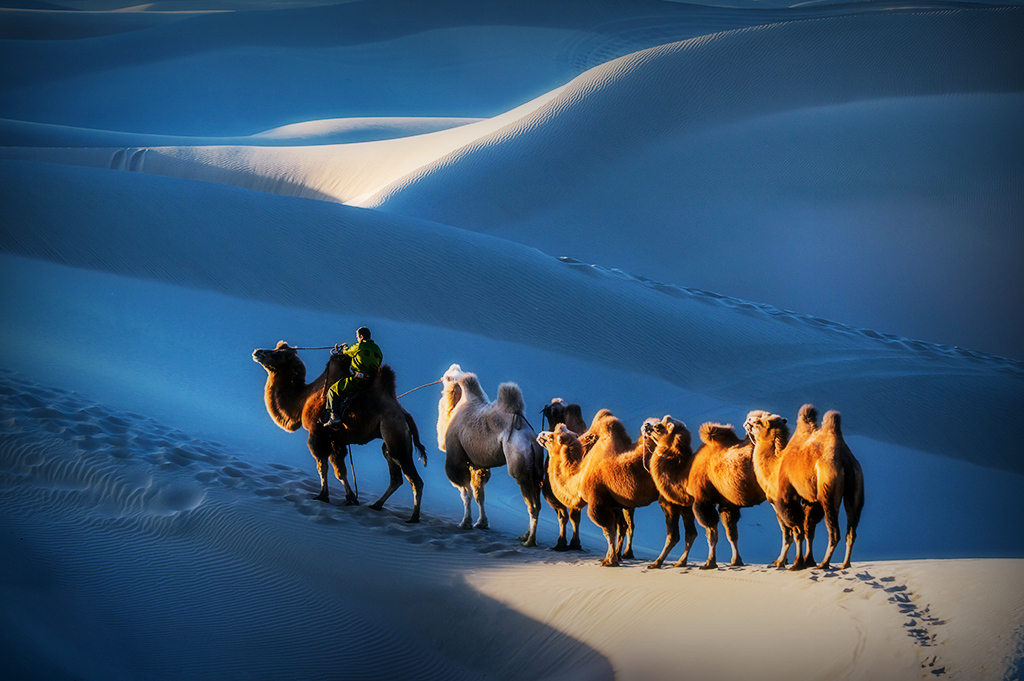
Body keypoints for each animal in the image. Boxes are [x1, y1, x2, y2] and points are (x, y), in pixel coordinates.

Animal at [253, 342, 425, 522]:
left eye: (277, 354)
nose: (258, 352)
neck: (303, 399)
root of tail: (406, 416)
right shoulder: (336, 439)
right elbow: (340, 470)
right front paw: (351, 498)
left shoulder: (317, 433)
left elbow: (322, 466)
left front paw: (322, 496)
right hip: (390, 440)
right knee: (396, 477)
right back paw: (376, 505)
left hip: (395, 433)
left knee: (415, 479)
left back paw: (413, 518)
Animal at [438, 364, 548, 544]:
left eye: (447, 377)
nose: (441, 378)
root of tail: (531, 443)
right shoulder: (478, 464)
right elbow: (479, 494)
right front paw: (481, 523)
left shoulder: (457, 457)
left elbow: (466, 493)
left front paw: (465, 523)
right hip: (536, 470)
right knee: (536, 504)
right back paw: (525, 536)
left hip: (520, 466)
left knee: (531, 505)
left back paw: (530, 540)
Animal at [536, 411, 688, 565]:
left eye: (552, 436)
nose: (541, 433)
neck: (579, 477)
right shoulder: (613, 504)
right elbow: (616, 529)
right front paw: (610, 557)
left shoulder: (597, 501)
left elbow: (608, 531)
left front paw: (611, 560)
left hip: (668, 498)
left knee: (674, 532)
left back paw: (658, 562)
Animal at [753, 403, 864, 569]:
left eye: (759, 423)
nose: (748, 422)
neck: (775, 466)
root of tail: (846, 461)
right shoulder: (810, 500)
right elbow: (808, 530)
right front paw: (807, 561)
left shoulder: (786, 498)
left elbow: (795, 531)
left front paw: (793, 563)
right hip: (855, 489)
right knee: (851, 531)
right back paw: (845, 564)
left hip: (828, 491)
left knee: (834, 532)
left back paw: (824, 563)